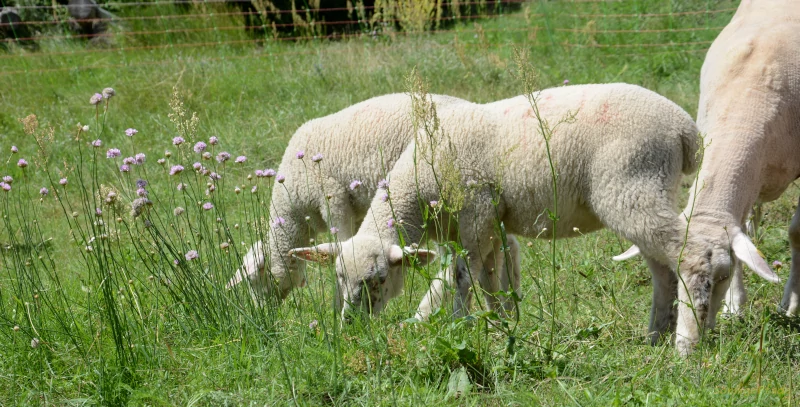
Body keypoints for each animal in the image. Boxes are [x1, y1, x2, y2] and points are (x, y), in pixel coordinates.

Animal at [227, 94, 524, 320]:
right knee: (504, 245)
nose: (261, 316)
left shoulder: (333, 199)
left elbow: (341, 243)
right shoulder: (359, 213)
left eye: (254, 281)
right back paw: (506, 307)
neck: (296, 215)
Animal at [290, 83, 736, 356]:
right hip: (646, 191)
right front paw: (502, 325)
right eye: (338, 278)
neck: (416, 189)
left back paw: (687, 343)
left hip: (632, 184)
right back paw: (662, 334)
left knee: (695, 253)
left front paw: (458, 324)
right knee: (669, 267)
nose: (352, 324)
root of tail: (684, 130)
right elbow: (492, 280)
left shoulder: (475, 212)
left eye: (379, 280)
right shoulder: (489, 226)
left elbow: (462, 276)